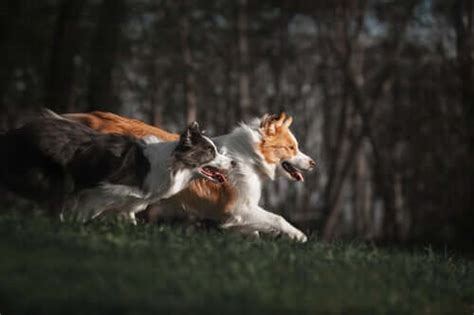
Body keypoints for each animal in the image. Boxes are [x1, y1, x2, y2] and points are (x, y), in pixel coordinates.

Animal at [0, 118, 233, 225]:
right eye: (210, 152)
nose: (233, 162)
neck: (172, 164)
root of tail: (14, 132)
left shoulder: (129, 203)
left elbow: (130, 219)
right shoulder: (98, 193)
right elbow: (84, 213)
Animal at [57, 110, 314, 242]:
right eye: (291, 148)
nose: (313, 163)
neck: (250, 156)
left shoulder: (238, 215)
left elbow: (255, 232)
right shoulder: (239, 207)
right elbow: (277, 219)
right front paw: (299, 235)